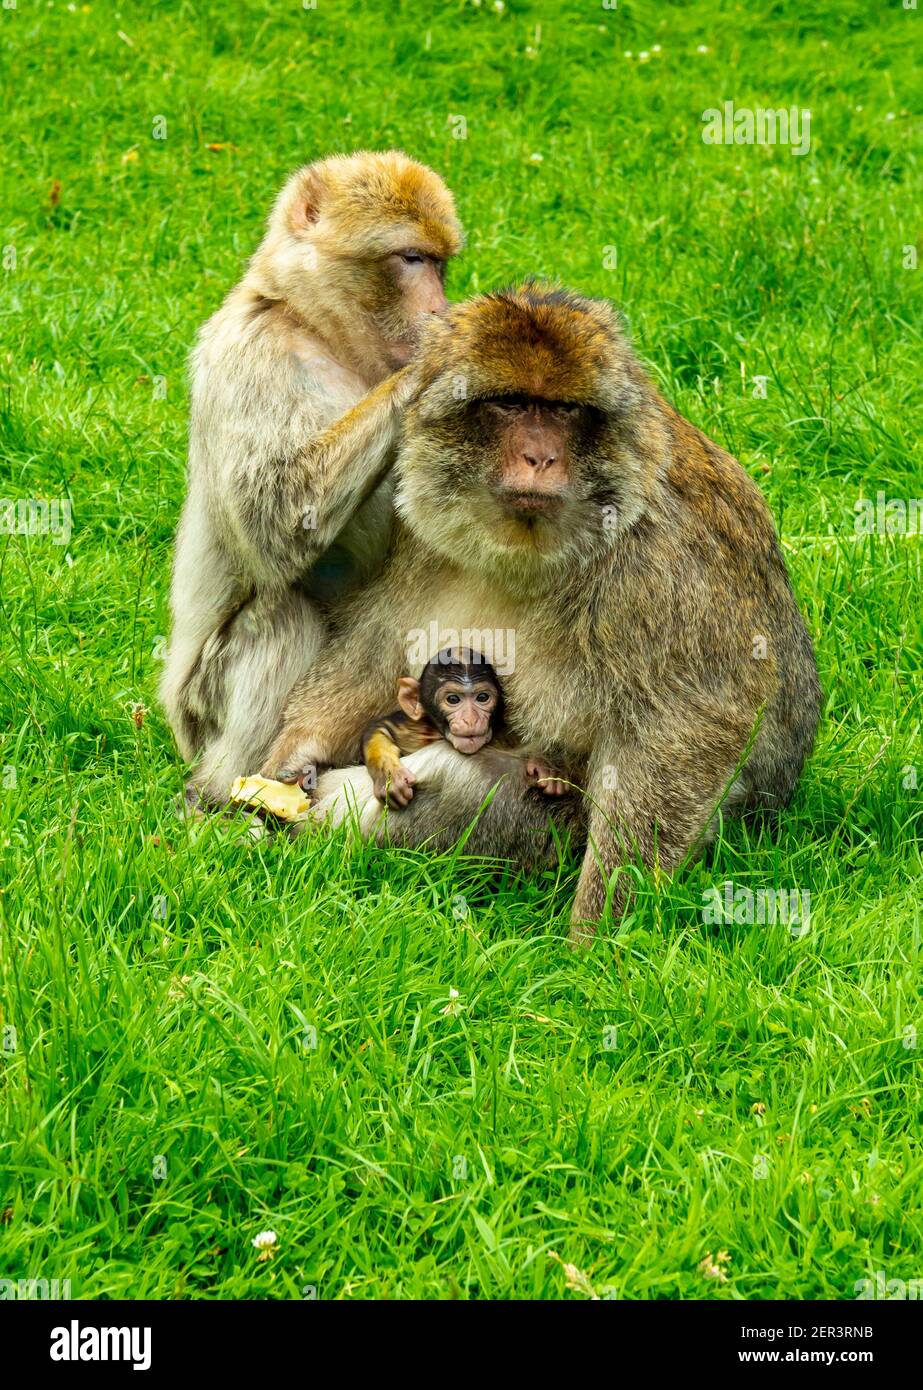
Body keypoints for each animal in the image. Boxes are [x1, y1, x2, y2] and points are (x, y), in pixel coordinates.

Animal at [159, 150, 463, 806]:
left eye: (439, 262)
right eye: (411, 258)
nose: (438, 309)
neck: (315, 327)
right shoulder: (253, 353)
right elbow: (275, 518)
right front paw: (430, 366)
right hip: (201, 711)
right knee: (282, 614)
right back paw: (229, 795)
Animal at [360, 646, 569, 807]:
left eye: (482, 697)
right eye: (453, 699)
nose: (471, 719)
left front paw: (547, 765)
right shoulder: (414, 728)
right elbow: (381, 729)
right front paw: (389, 774)